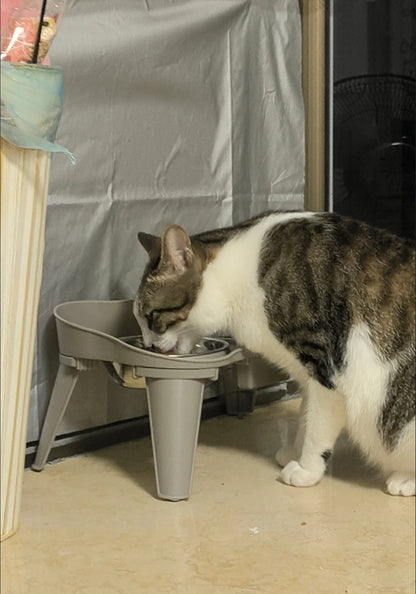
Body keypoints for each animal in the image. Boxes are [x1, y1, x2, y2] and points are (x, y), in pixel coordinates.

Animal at [134, 209, 416, 494]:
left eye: (150, 317)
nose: (148, 345)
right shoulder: (307, 376)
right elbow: (305, 417)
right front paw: (294, 453)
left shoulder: (325, 370)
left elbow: (316, 429)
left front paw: (307, 470)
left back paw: (405, 479)